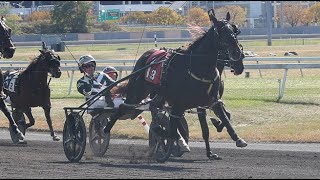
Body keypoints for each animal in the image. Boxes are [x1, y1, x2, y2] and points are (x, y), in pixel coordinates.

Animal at [104, 9, 245, 162]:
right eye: (221, 32)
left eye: (234, 30)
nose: (238, 55)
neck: (197, 67)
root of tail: (146, 55)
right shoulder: (180, 103)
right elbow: (173, 127)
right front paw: (166, 138)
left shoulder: (210, 101)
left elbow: (224, 118)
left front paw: (236, 138)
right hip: (137, 91)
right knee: (125, 106)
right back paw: (105, 130)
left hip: (157, 94)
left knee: (154, 107)